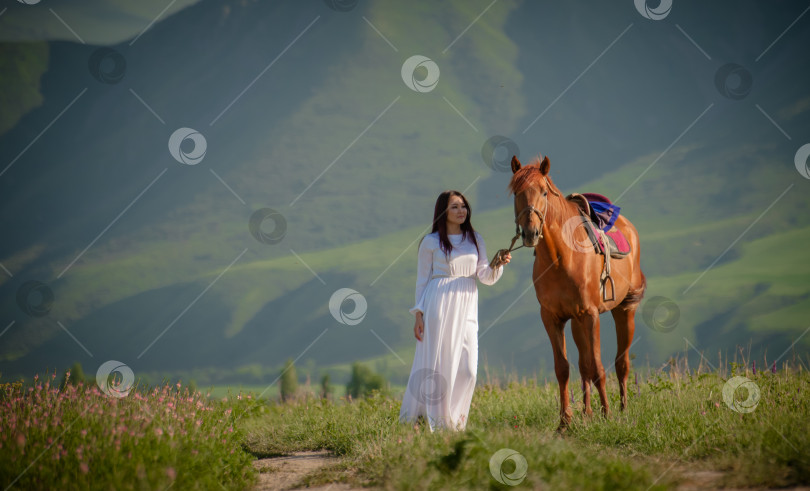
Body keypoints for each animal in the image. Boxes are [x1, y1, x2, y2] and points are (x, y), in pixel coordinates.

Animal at [504, 155, 644, 430]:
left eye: (544, 192)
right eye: (516, 192)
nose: (530, 232)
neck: (561, 258)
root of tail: (629, 227)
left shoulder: (591, 315)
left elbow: (598, 368)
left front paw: (607, 415)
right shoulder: (552, 318)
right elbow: (564, 369)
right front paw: (564, 422)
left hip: (624, 310)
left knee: (620, 363)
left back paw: (622, 410)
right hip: (577, 321)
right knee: (583, 366)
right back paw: (587, 413)